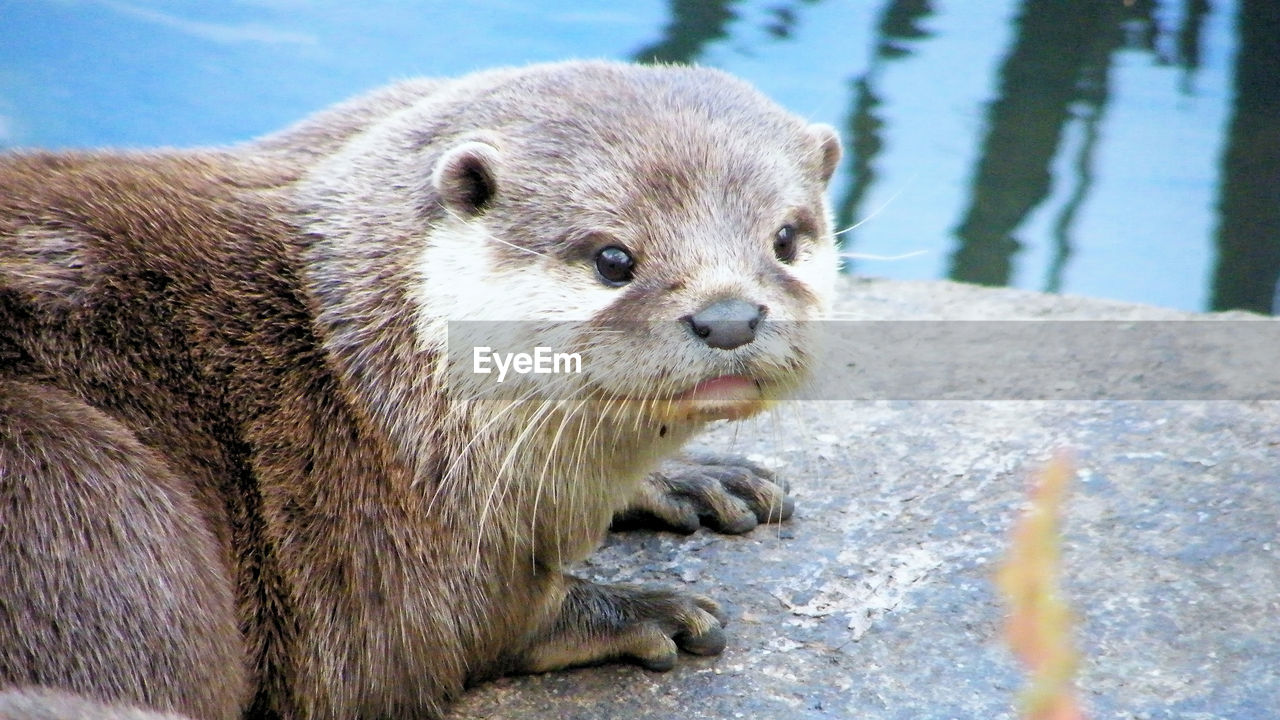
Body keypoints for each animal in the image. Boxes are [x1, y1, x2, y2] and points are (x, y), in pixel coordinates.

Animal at [0, 61, 839, 717]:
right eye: (613, 258)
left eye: (786, 239)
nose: (729, 317)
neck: (369, 383)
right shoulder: (354, 544)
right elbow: (447, 638)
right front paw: (639, 607)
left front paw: (693, 476)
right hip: (92, 493)